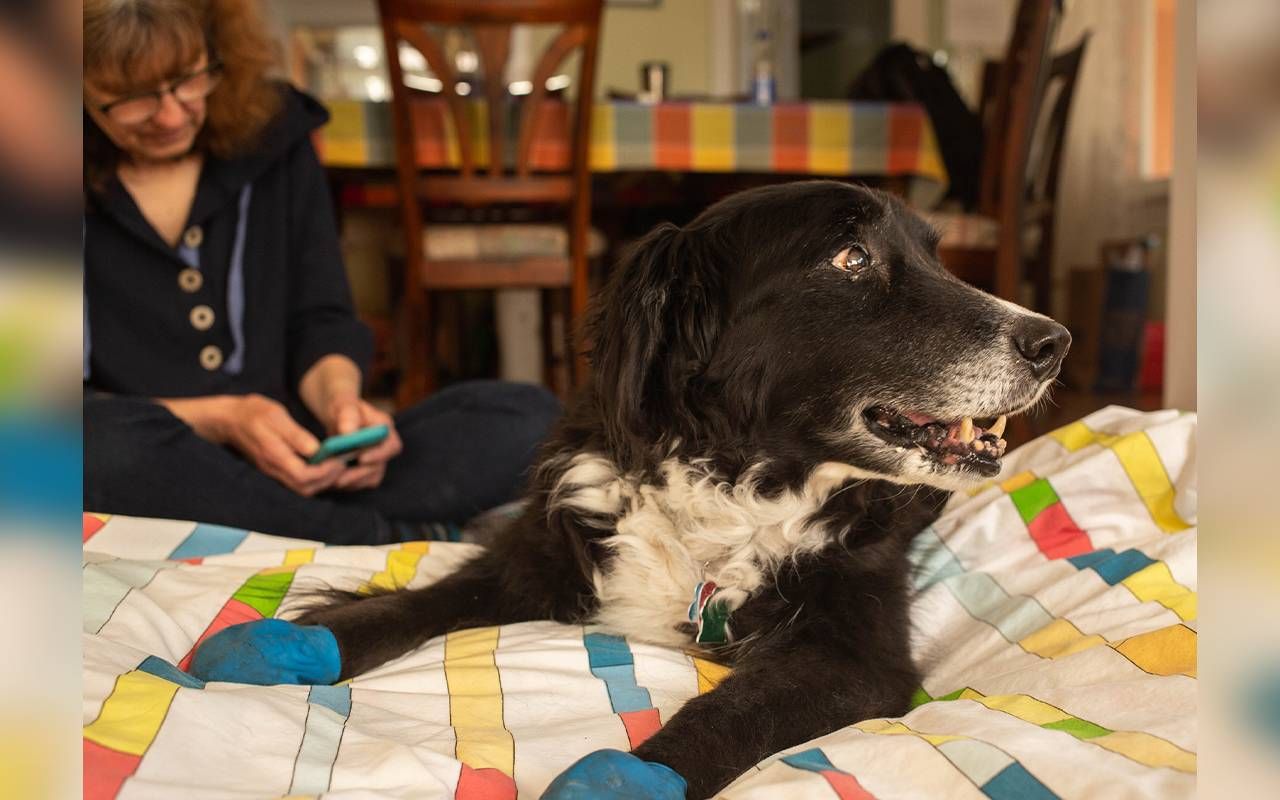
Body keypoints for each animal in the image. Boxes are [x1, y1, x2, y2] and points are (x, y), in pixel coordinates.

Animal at [302, 183, 1070, 798]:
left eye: (937, 258)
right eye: (851, 257)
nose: (1055, 342)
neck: (729, 484)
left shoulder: (856, 653)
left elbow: (725, 715)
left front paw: (623, 778)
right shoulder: (544, 554)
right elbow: (417, 601)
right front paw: (302, 639)